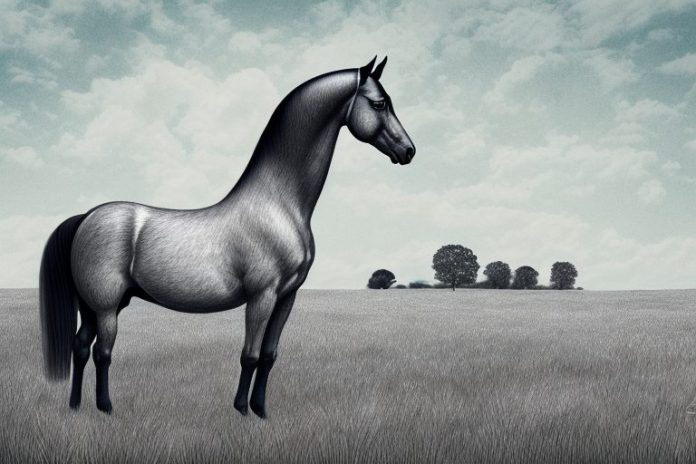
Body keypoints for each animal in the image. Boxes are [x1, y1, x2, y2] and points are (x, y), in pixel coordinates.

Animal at [39, 56, 415, 418]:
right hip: (105, 306)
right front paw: (242, 411)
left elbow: (269, 355)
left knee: (80, 348)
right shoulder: (262, 296)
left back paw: (76, 406)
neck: (278, 203)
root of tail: (86, 217)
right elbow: (250, 355)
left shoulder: (286, 297)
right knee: (102, 352)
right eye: (379, 104)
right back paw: (105, 407)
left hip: (93, 306)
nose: (409, 151)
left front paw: (261, 410)